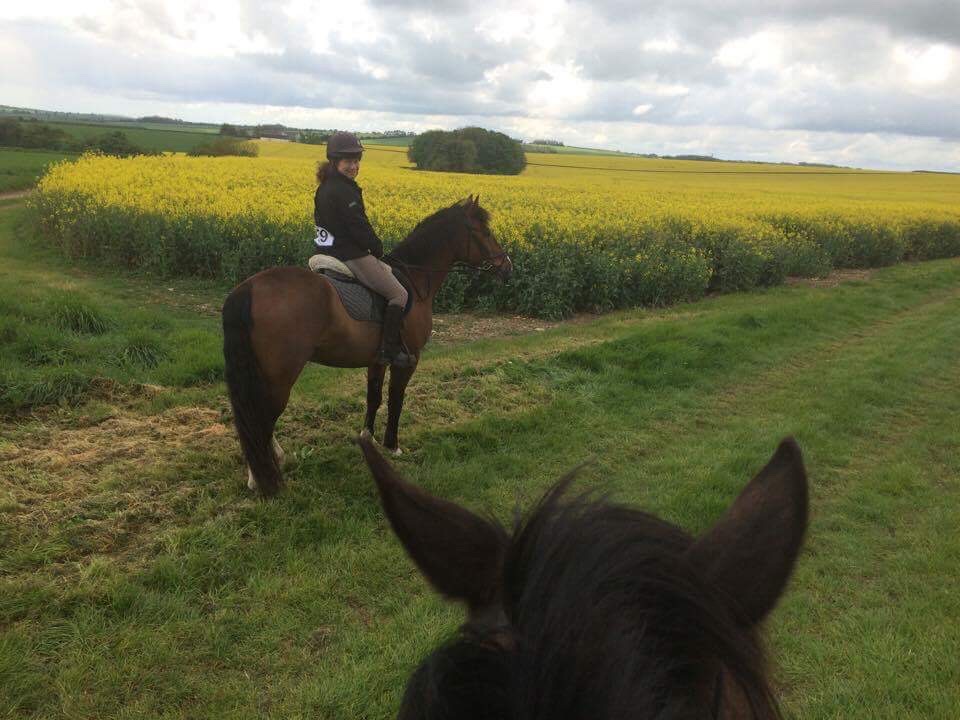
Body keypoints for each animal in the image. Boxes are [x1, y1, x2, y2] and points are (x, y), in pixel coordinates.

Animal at [222, 195, 512, 496]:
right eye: (485, 232)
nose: (508, 267)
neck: (414, 279)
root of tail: (248, 289)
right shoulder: (408, 359)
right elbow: (396, 399)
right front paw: (393, 445)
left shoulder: (378, 359)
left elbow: (374, 397)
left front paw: (367, 438)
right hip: (279, 376)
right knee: (261, 419)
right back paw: (263, 477)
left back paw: (267, 465)